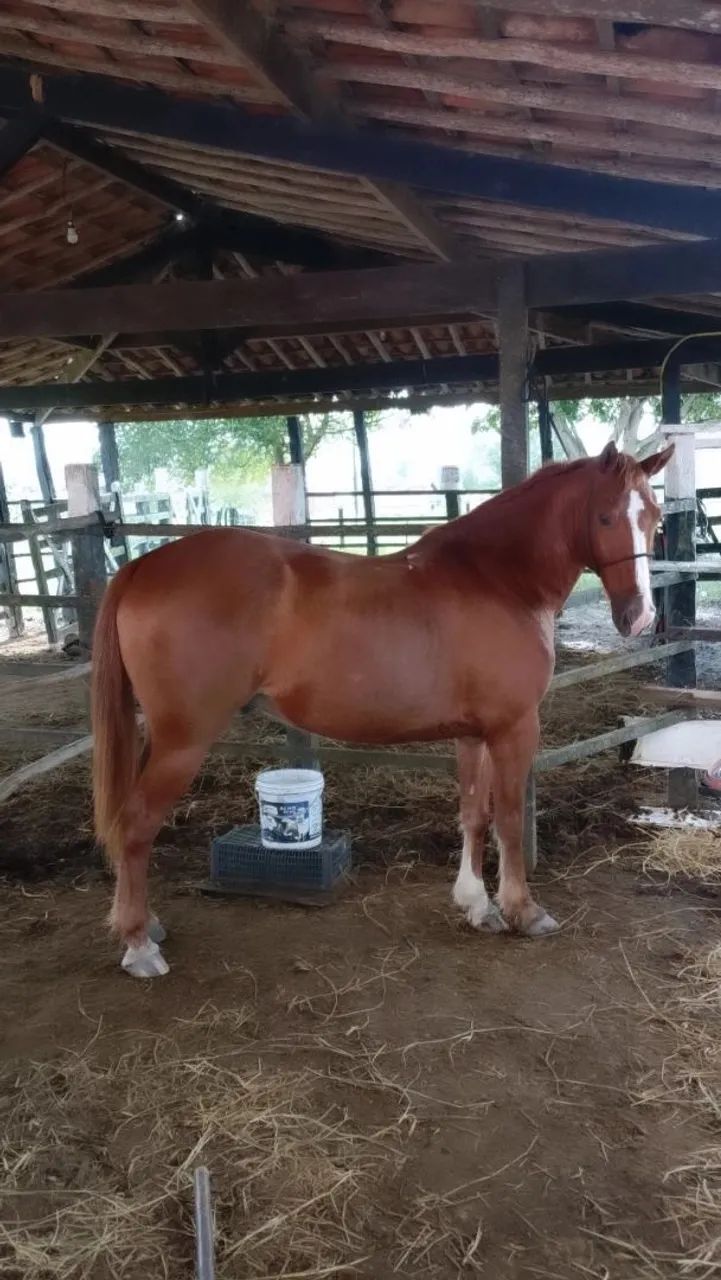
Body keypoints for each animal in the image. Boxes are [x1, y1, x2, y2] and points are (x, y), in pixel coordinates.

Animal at [91, 441, 672, 977]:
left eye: (655, 517)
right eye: (605, 516)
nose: (641, 617)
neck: (497, 579)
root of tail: (142, 566)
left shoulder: (473, 733)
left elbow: (474, 814)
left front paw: (476, 905)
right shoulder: (513, 728)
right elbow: (509, 819)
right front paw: (523, 911)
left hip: (160, 737)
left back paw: (144, 926)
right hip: (185, 739)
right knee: (136, 824)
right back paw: (139, 946)